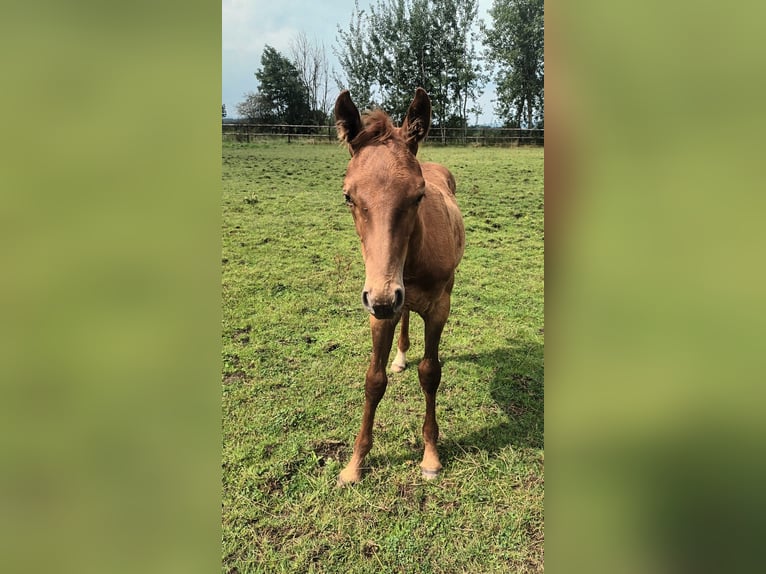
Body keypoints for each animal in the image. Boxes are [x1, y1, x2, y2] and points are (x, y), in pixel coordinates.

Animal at [334, 89, 464, 486]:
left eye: (418, 195)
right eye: (348, 196)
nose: (383, 297)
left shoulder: (438, 308)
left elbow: (431, 373)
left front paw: (431, 456)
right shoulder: (378, 313)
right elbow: (373, 381)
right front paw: (354, 464)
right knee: (404, 314)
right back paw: (400, 356)